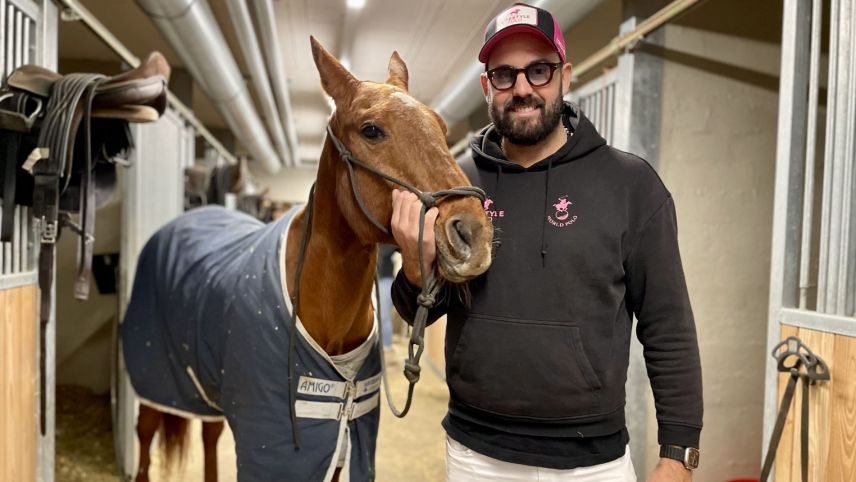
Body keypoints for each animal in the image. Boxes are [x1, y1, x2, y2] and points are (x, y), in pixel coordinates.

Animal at [121, 36, 494, 482]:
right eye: (372, 130)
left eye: (440, 127)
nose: (473, 233)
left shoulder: (340, 442)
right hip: (156, 378)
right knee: (144, 435)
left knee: (209, 435)